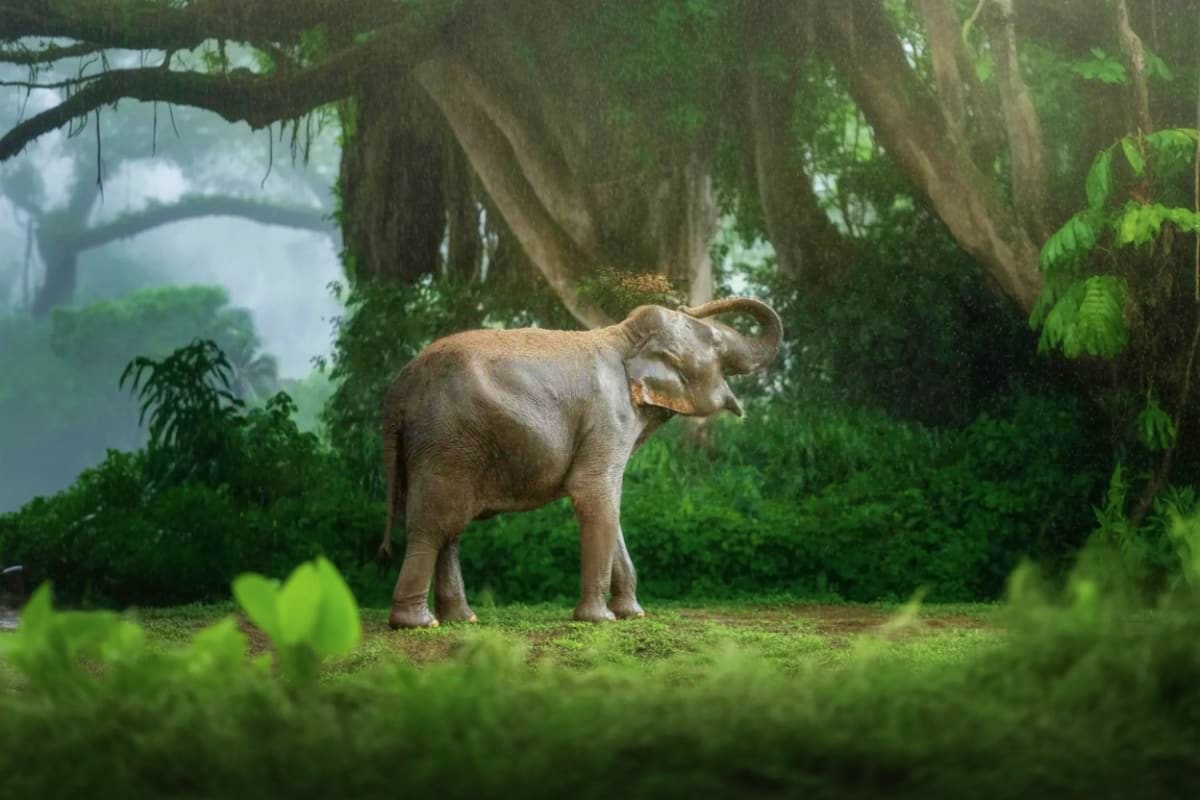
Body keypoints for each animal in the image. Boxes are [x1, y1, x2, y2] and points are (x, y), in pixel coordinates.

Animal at [377, 296, 783, 629]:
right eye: (715, 341)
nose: (685, 302)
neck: (623, 336)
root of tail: (397, 393)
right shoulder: (607, 416)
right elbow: (594, 492)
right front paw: (600, 619)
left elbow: (610, 507)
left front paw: (632, 614)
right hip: (446, 440)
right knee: (433, 525)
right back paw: (418, 624)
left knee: (451, 529)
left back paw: (462, 620)